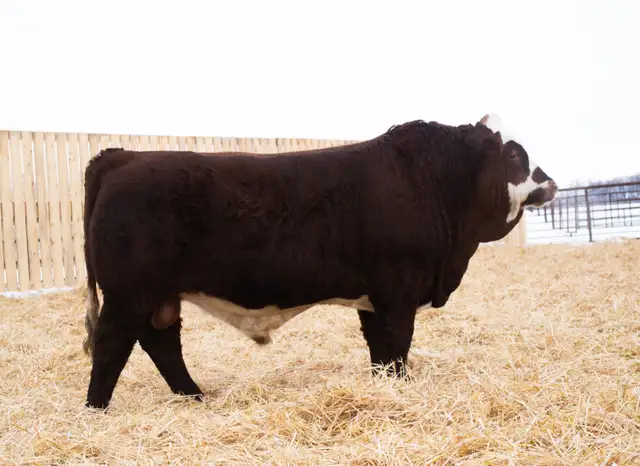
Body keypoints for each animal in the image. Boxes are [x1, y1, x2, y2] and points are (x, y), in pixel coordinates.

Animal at [81, 114, 558, 409]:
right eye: (514, 155)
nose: (550, 182)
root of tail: (123, 156)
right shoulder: (398, 293)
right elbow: (398, 347)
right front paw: (400, 389)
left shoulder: (373, 300)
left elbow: (380, 352)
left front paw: (385, 389)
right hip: (128, 294)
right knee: (111, 344)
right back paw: (95, 410)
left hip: (158, 297)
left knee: (161, 343)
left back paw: (194, 396)